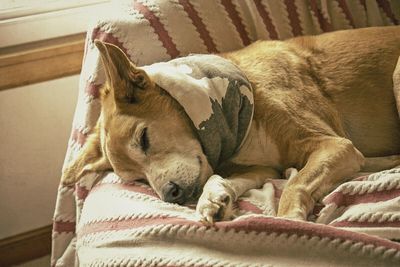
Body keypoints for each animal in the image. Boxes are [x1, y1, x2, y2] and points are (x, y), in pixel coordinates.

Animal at [61, 26, 400, 224]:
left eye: (144, 138)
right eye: (136, 180)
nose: (171, 195)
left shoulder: (334, 145)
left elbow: (296, 185)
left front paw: (290, 219)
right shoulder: (261, 168)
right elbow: (223, 177)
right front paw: (213, 198)